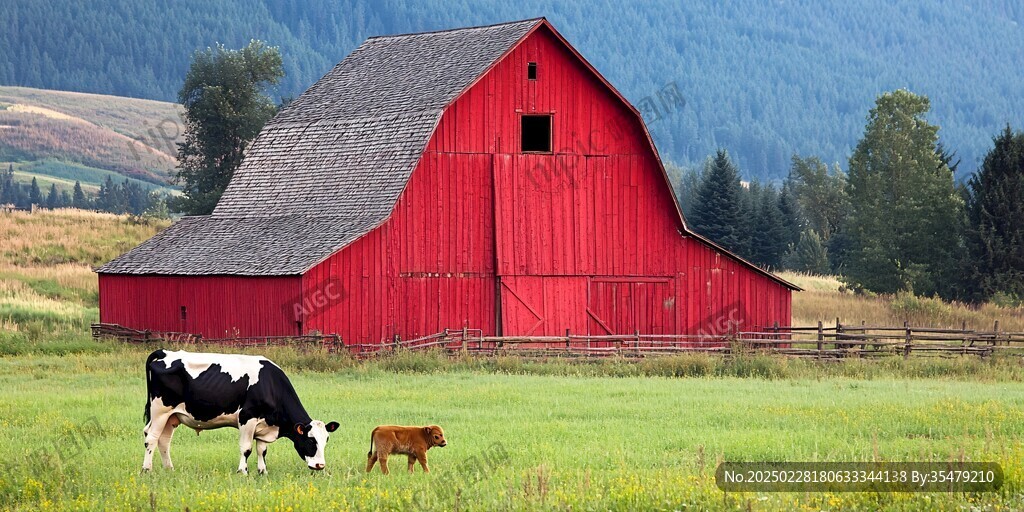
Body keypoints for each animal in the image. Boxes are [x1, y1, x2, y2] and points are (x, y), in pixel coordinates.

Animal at [142, 350, 339, 473]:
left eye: (326, 440)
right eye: (310, 440)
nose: (320, 465)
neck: (270, 384)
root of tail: (165, 352)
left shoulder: (264, 424)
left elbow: (262, 449)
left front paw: (262, 471)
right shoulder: (247, 418)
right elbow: (246, 448)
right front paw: (242, 471)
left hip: (171, 417)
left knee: (164, 441)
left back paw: (169, 469)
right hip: (160, 411)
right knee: (151, 438)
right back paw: (146, 469)